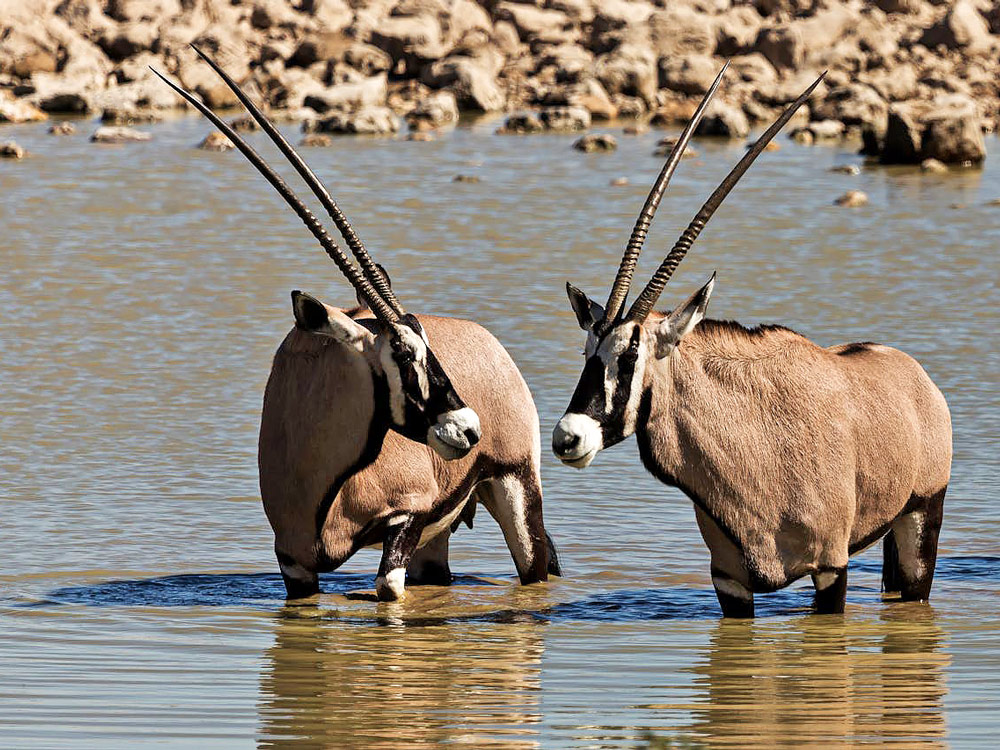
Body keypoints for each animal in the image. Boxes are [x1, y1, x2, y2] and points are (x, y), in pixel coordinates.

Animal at [154, 49, 559, 601]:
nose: (469, 428)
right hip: (437, 538)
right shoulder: (294, 564)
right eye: (403, 353)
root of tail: (492, 344)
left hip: (515, 490)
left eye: (426, 345)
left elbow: (387, 590)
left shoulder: (405, 518)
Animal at [552, 65, 951, 618]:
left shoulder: (831, 568)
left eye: (630, 355)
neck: (756, 441)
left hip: (920, 521)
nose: (567, 437)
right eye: (587, 352)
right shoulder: (730, 581)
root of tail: (916, 377)